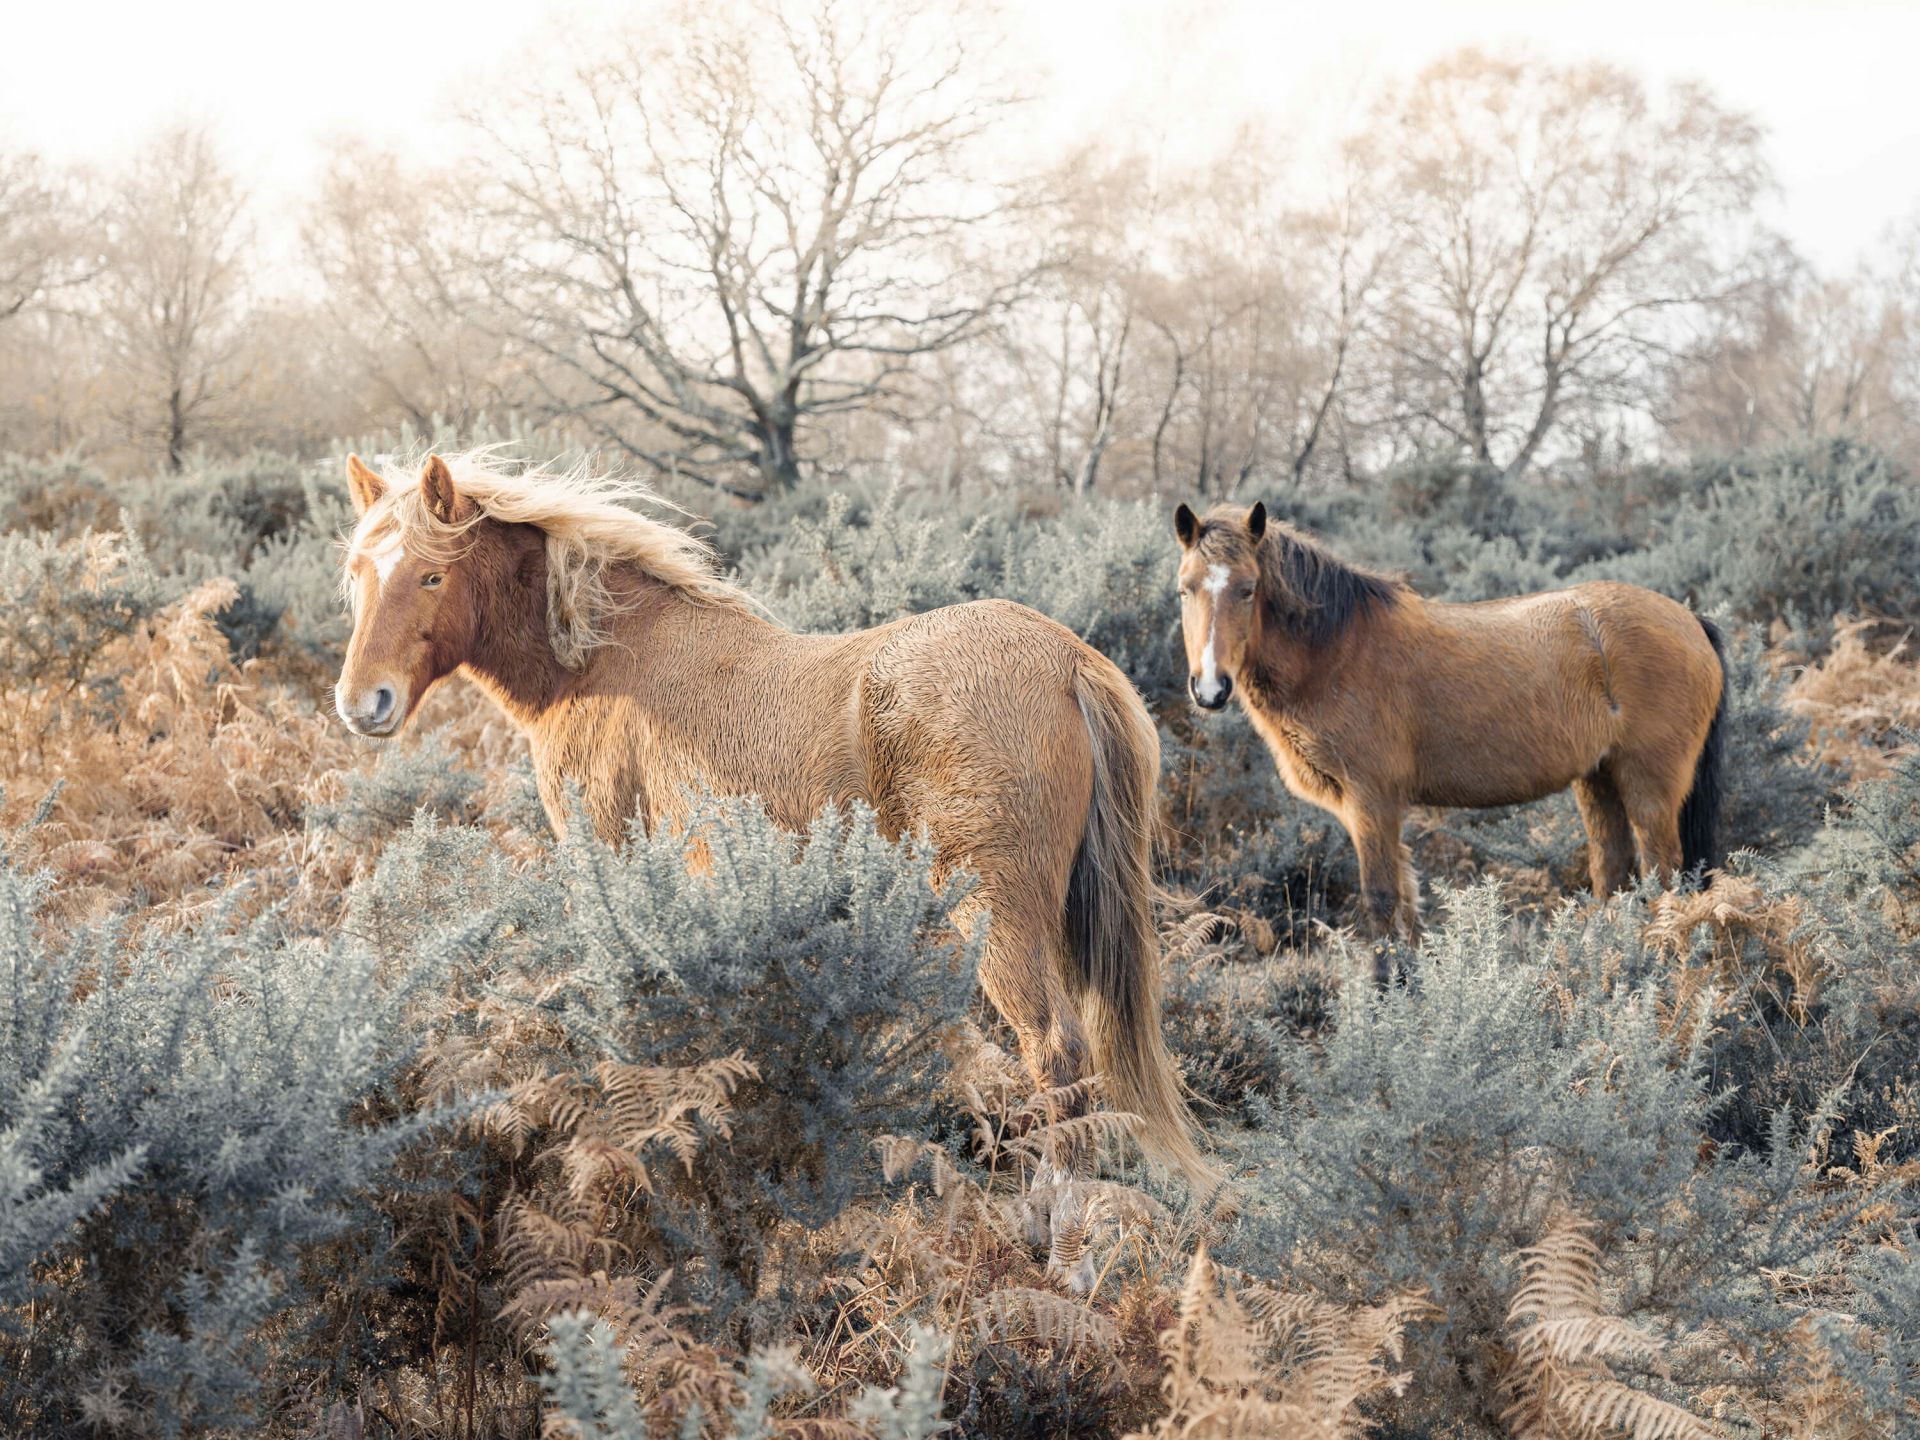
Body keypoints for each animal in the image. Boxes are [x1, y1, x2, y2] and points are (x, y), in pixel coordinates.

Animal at [333, 452, 1212, 1249]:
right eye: (359, 575)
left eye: (431, 576)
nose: (361, 703)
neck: (602, 660)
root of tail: (1068, 661)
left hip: (998, 917)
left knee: (1054, 1049)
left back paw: (1053, 1220)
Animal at [1172, 500, 1727, 952]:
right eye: (1184, 590)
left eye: (1248, 590)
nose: (1210, 689)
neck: (1336, 651)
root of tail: (1691, 620)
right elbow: (1406, 905)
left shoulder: (1371, 802)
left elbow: (1381, 899)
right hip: (1598, 779)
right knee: (1612, 873)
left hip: (1648, 788)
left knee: (1662, 877)